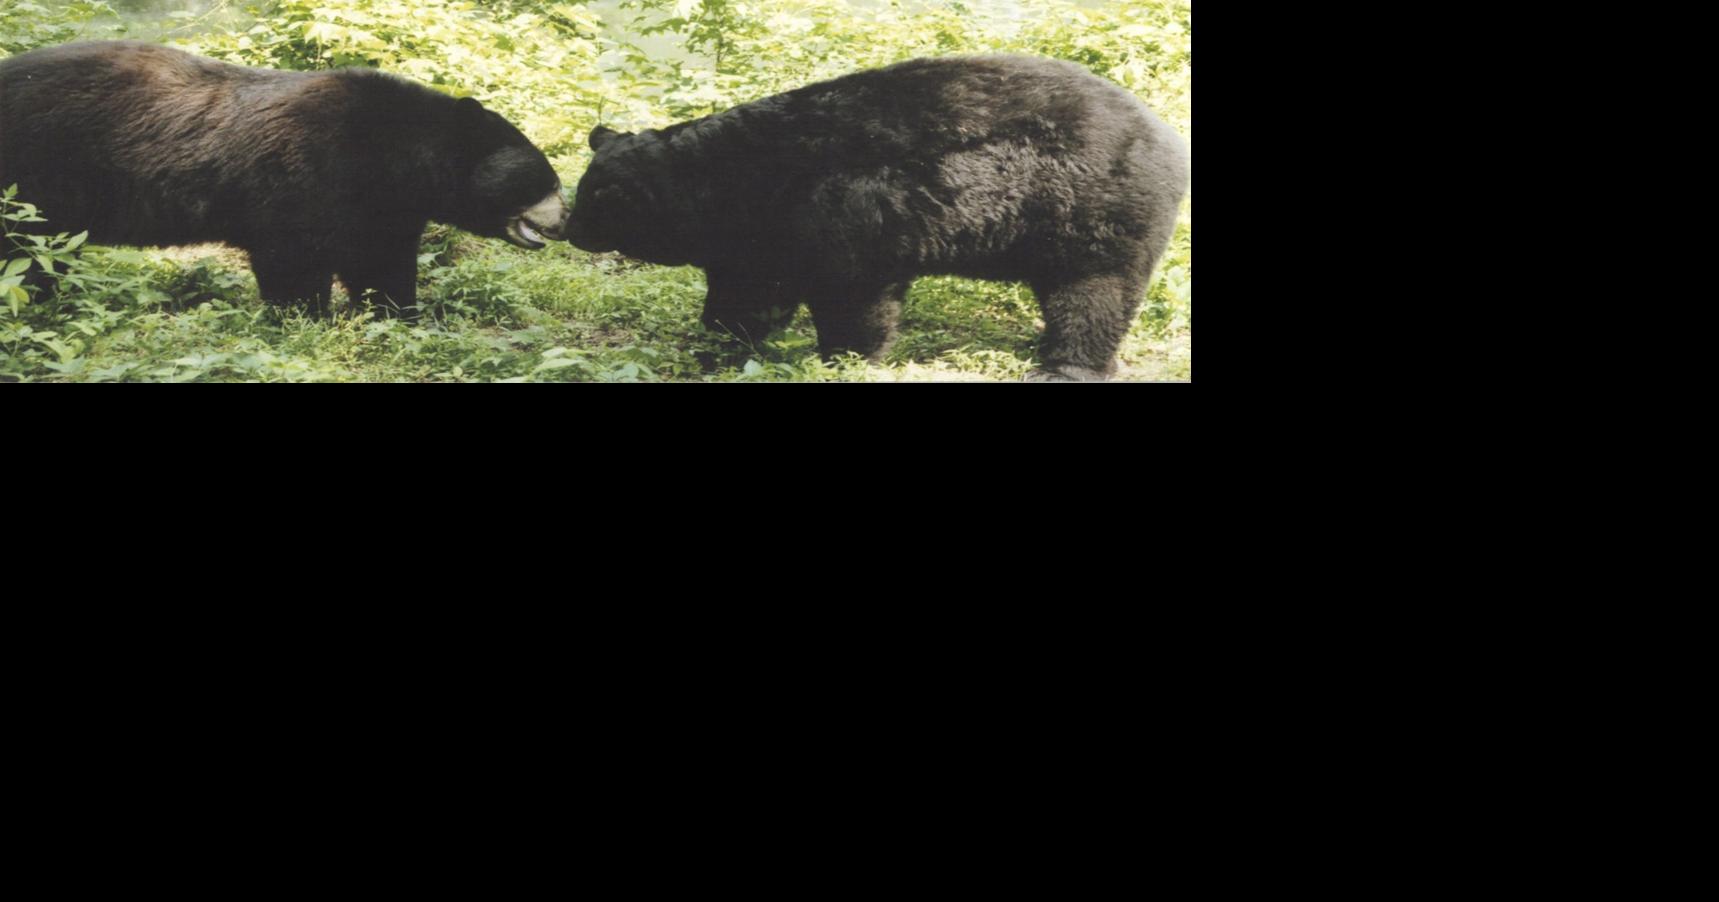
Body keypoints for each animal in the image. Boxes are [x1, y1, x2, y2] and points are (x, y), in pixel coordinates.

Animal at [0, 40, 568, 316]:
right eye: (548, 180)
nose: (566, 222)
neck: (396, 154)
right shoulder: (307, 175)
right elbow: (294, 258)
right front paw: (304, 319)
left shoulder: (381, 203)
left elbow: (380, 258)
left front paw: (400, 316)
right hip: (36, 172)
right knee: (25, 251)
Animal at [562, 54, 1189, 381]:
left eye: (596, 198)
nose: (566, 230)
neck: (737, 180)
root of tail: (1165, 135)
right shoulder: (762, 234)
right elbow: (750, 288)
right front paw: (720, 338)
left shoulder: (837, 212)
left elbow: (852, 292)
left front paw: (844, 358)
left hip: (1091, 209)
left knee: (1092, 294)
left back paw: (1067, 364)